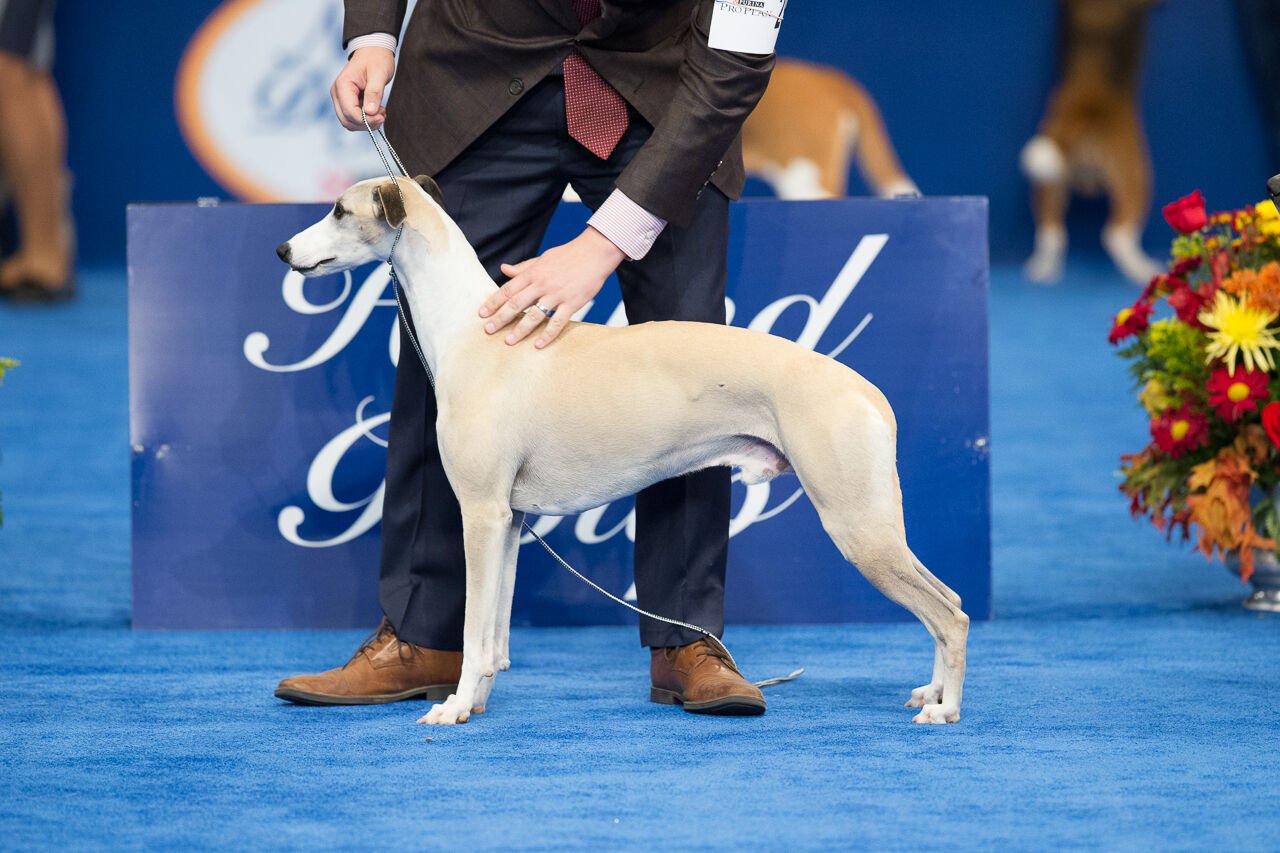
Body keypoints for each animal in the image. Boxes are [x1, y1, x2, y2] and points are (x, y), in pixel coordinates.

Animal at [275, 174, 962, 722]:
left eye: (338, 209)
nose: (282, 248)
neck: (475, 331)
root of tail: (866, 390)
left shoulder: (480, 512)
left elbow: (472, 631)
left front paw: (452, 709)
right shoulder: (509, 521)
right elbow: (494, 636)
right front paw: (477, 701)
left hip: (858, 527)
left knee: (950, 613)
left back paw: (945, 709)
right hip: (872, 525)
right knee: (946, 602)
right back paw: (929, 692)